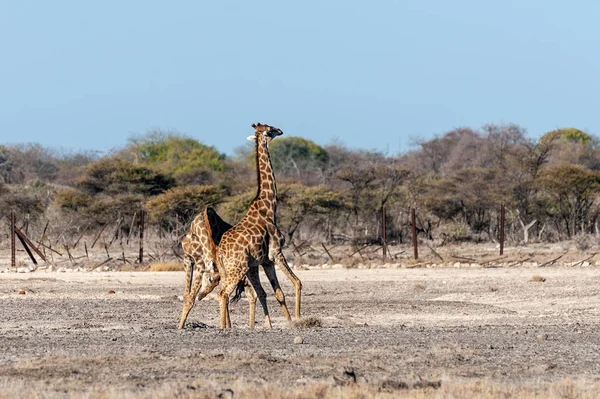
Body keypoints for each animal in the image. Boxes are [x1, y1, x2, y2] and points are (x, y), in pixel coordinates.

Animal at [216, 123, 302, 330]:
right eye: (270, 129)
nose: (280, 130)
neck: (269, 207)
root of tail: (220, 253)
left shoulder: (264, 261)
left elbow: (276, 293)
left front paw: (282, 322)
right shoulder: (276, 252)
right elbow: (297, 283)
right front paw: (297, 319)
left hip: (230, 270)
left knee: (224, 293)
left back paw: (226, 325)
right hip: (237, 268)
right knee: (223, 293)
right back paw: (223, 327)